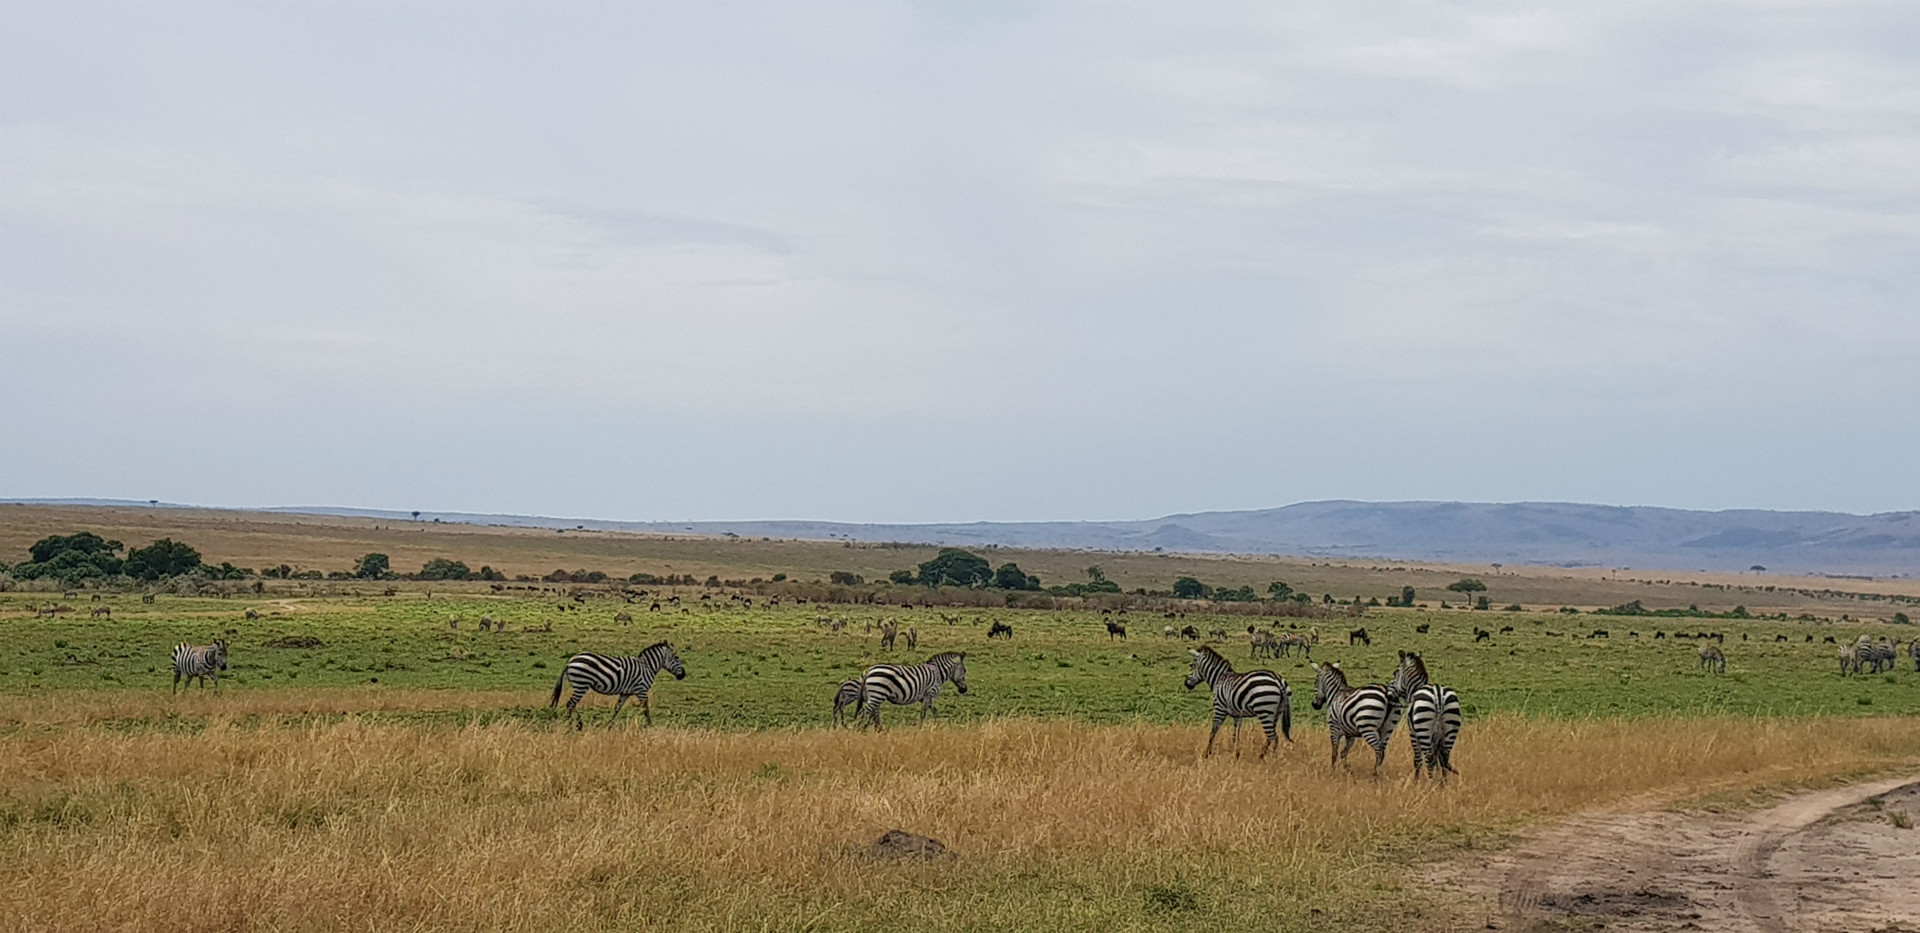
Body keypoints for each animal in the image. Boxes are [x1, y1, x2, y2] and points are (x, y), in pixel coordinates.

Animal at [545, 641, 687, 729]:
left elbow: (617, 708)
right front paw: (651, 726)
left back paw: (577, 724)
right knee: (570, 704)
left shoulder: (625, 693)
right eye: (676, 658)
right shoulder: (641, 690)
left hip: (580, 685)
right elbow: (645, 709)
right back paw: (572, 726)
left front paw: (609, 725)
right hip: (582, 684)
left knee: (571, 704)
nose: (683, 675)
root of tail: (570, 661)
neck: (647, 667)